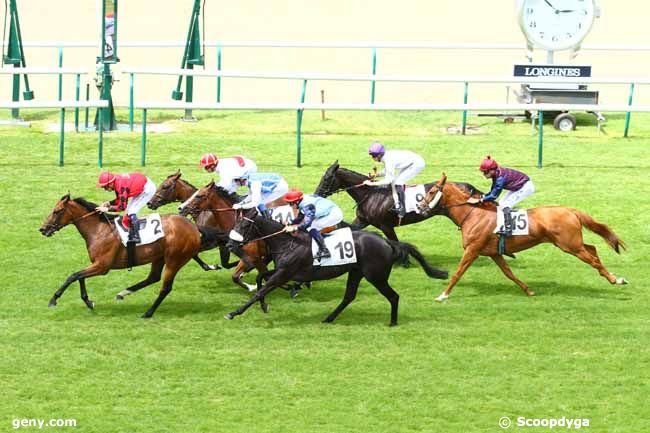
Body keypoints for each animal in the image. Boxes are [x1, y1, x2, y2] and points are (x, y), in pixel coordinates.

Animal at [40, 194, 227, 316]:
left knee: (165, 287)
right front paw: (88, 301)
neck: (98, 230)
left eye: (57, 211)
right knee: (153, 278)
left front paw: (54, 300)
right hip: (159, 257)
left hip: (174, 259)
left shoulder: (102, 266)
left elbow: (74, 276)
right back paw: (124, 293)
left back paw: (148, 313)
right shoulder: (97, 265)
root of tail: (193, 226)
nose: (43, 229)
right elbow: (79, 277)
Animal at [223, 208, 446, 324]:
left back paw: (392, 322)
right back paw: (329, 318)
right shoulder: (283, 271)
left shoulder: (285, 273)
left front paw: (234, 313)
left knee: (393, 296)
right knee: (349, 297)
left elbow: (261, 290)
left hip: (376, 275)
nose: (230, 244)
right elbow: (260, 278)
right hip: (356, 272)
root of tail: (386, 242)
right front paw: (265, 305)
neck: (287, 242)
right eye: (235, 224)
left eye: (244, 225)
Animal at [418, 174, 624, 302]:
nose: (420, 207)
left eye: (431, 192)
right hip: (572, 243)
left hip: (569, 245)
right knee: (592, 249)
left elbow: (458, 272)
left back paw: (616, 279)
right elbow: (509, 273)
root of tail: (570, 210)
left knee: (592, 259)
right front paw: (528, 290)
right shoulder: (494, 253)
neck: (472, 214)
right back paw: (611, 276)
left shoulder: (472, 250)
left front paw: (443, 295)